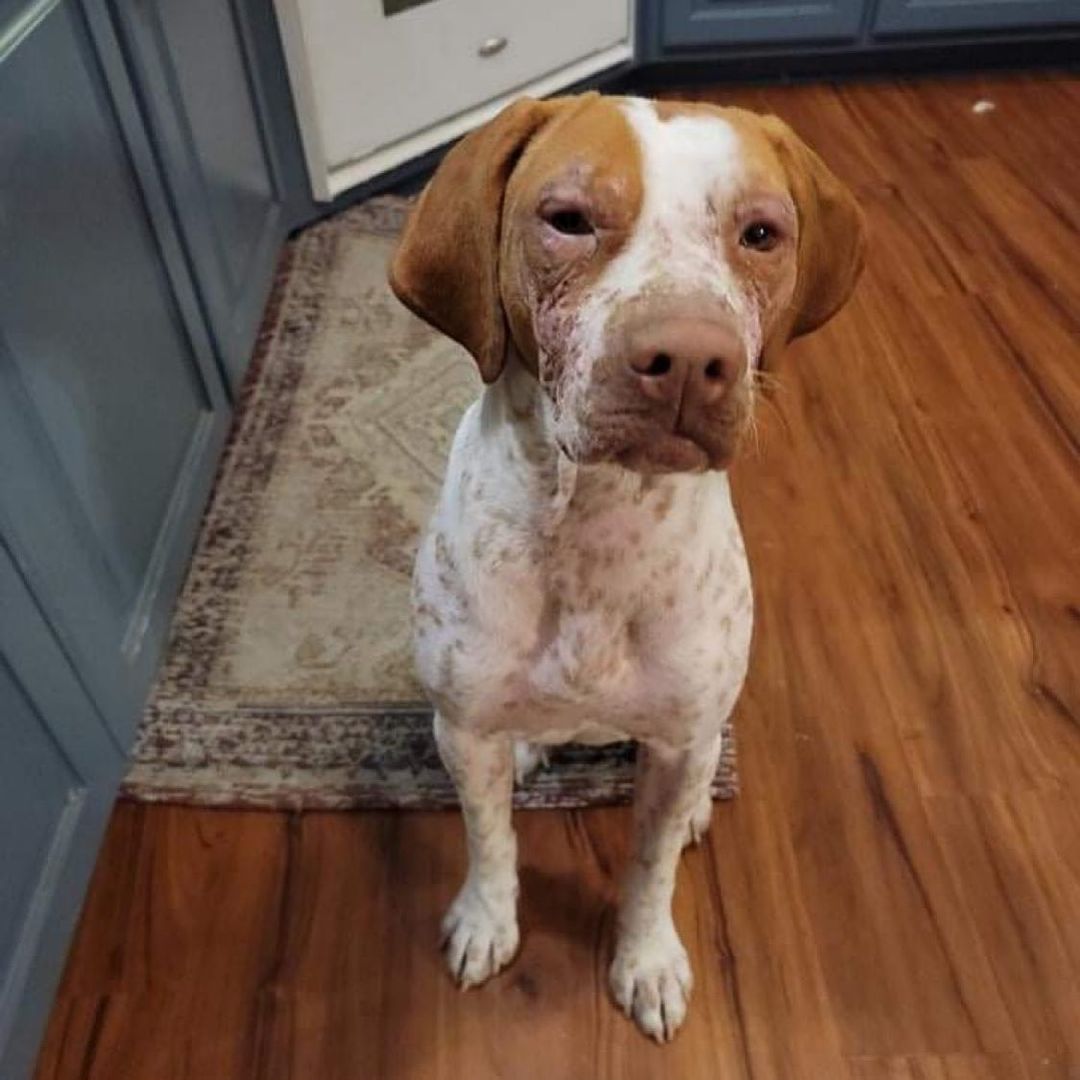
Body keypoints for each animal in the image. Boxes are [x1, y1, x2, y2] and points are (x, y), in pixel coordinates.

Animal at [388, 95, 859, 1045]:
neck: (595, 528)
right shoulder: (461, 726)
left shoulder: (674, 750)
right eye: (568, 220)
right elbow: (489, 841)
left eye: (760, 233)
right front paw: (486, 921)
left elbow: (650, 870)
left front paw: (646, 961)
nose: (688, 361)